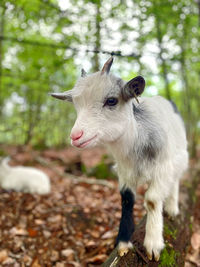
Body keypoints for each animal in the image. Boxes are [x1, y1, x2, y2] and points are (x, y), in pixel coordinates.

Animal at [50, 57, 188, 262]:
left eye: (111, 101)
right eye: (76, 104)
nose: (76, 136)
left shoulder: (163, 168)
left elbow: (152, 200)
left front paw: (153, 244)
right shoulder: (124, 171)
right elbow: (127, 199)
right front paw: (123, 243)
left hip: (180, 157)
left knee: (176, 180)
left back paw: (172, 207)